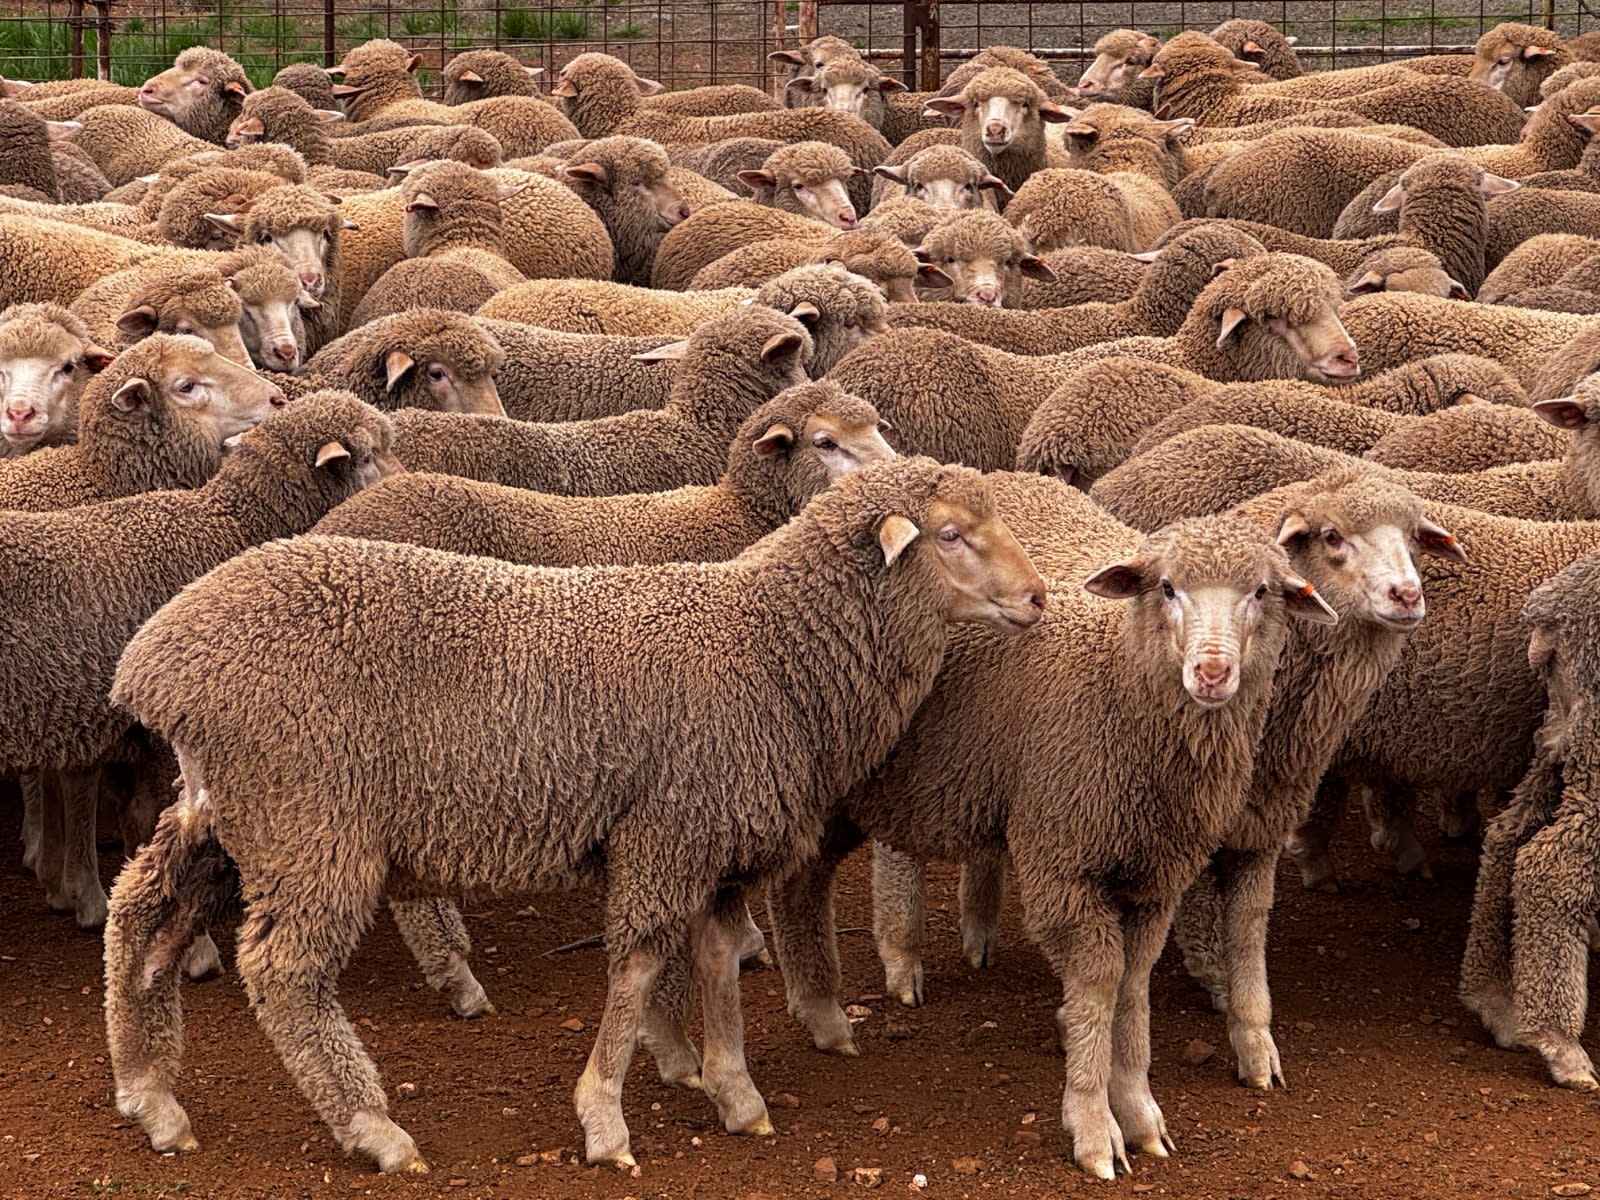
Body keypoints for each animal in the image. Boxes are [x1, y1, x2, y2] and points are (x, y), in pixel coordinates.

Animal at [102, 455, 1044, 1173]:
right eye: (951, 534)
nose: (1038, 597)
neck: (770, 646)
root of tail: (154, 660)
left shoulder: (713, 843)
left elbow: (712, 964)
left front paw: (735, 1093)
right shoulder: (669, 833)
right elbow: (636, 970)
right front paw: (605, 1118)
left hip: (230, 817)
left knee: (140, 918)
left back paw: (151, 1097)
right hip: (307, 822)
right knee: (283, 972)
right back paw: (374, 1130)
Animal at [766, 472, 1334, 1179]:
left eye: (1260, 592)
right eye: (1166, 589)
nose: (1211, 672)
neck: (1119, 688)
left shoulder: (1153, 881)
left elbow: (1133, 987)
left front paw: (1138, 1110)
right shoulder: (1065, 867)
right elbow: (1098, 985)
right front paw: (1094, 1127)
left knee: (799, 885)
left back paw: (818, 1012)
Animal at [1459, 550, 1600, 1091]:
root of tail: (1557, 606)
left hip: (1563, 731)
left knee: (1506, 836)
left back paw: (1492, 994)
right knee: (1550, 867)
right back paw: (1560, 1041)